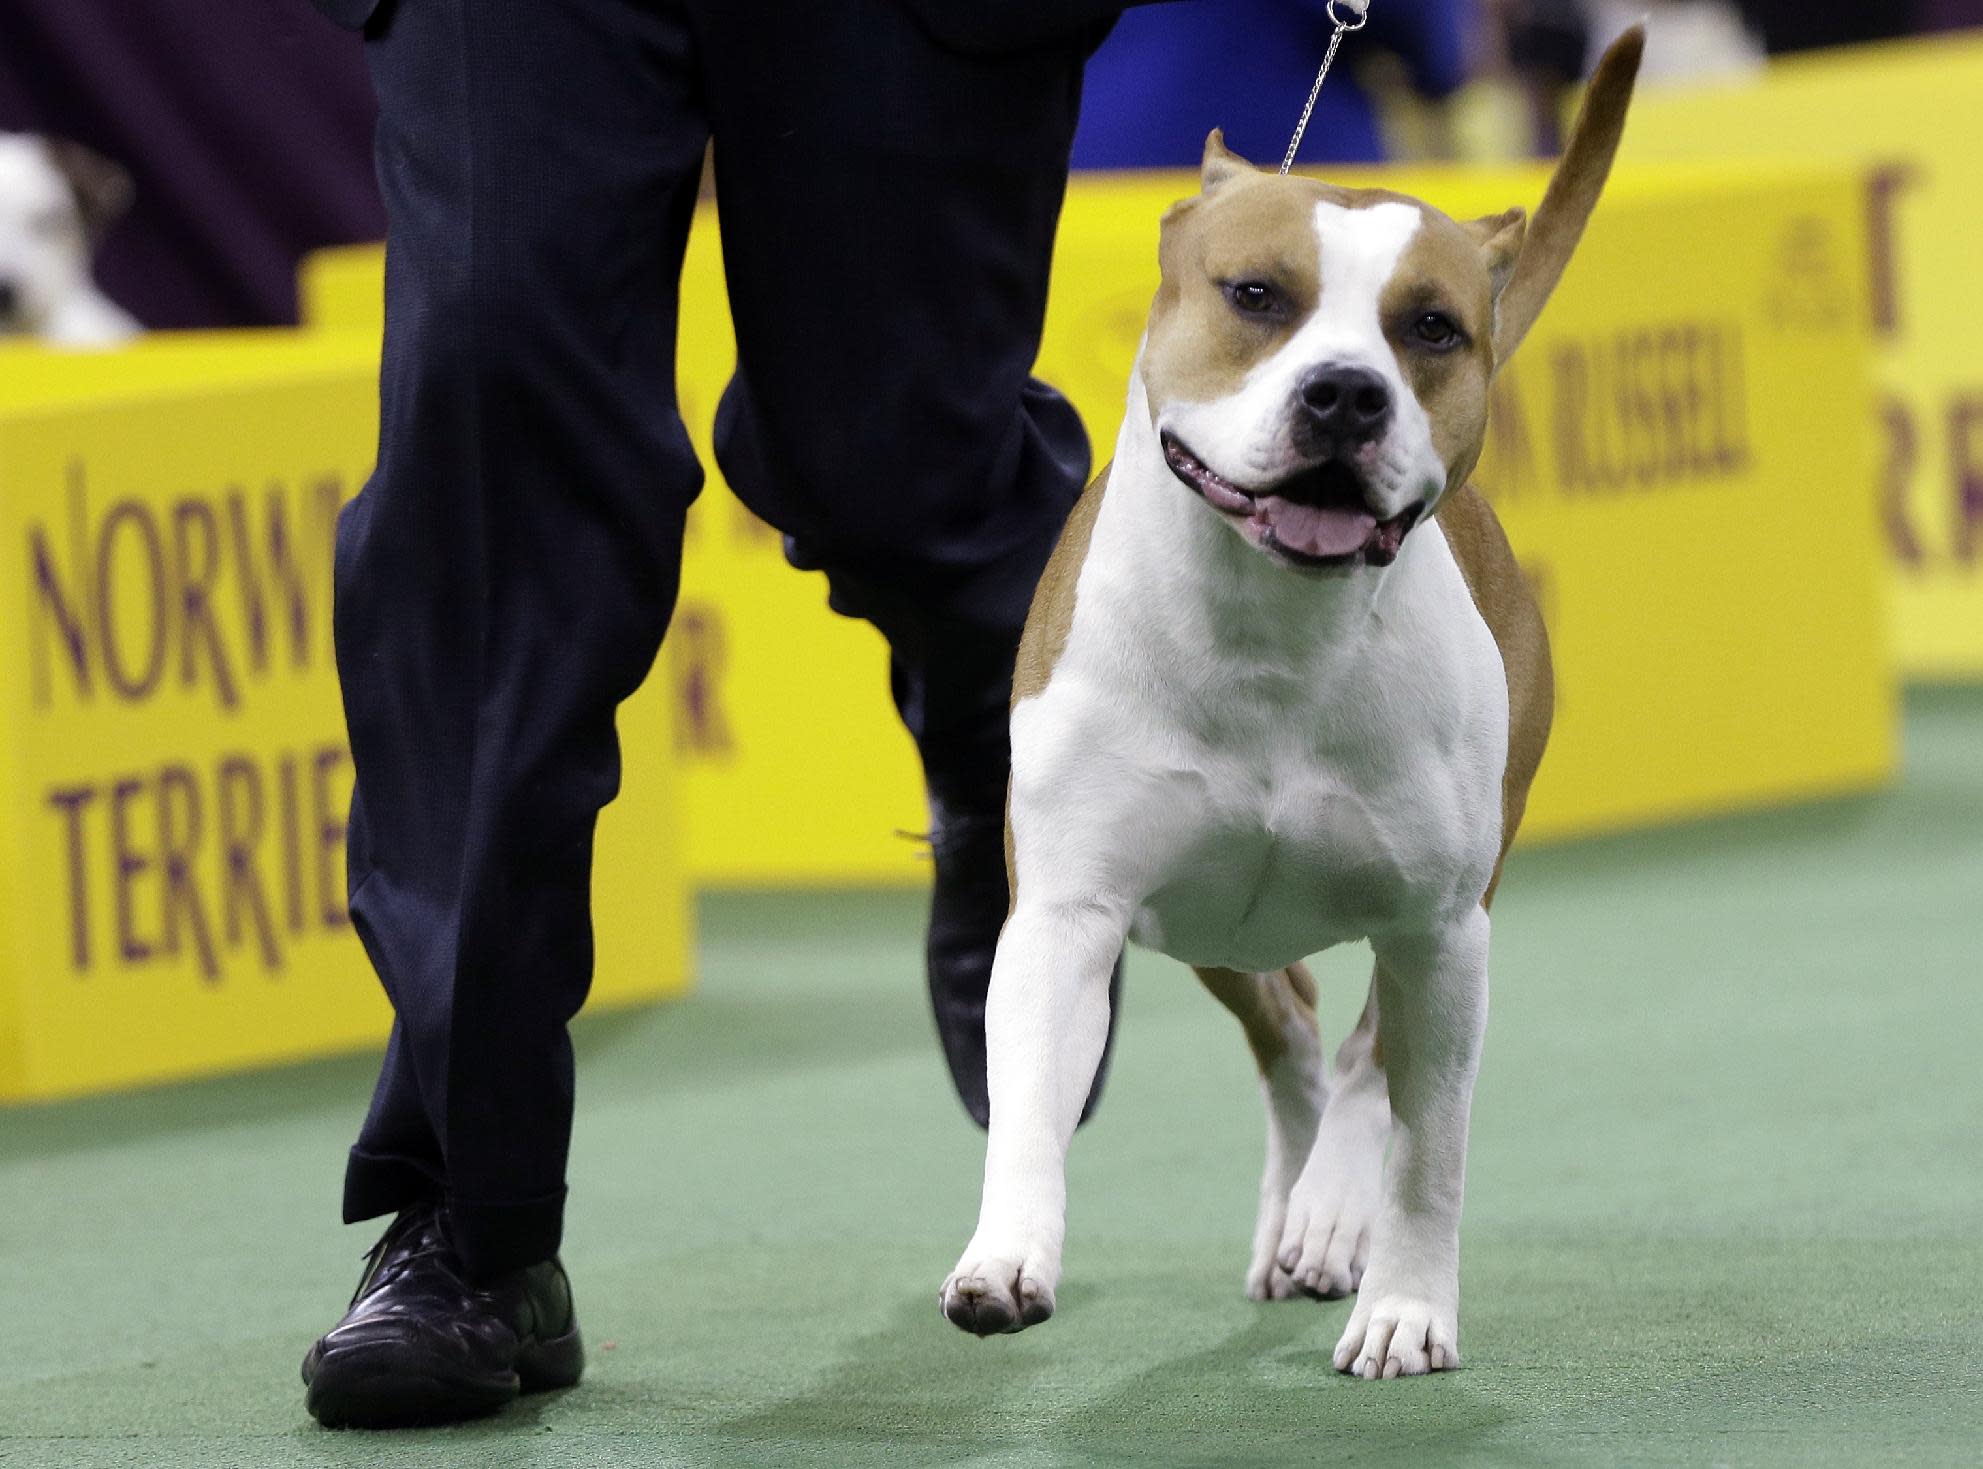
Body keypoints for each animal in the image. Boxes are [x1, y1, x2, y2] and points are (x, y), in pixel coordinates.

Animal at [939, 28, 1641, 1371]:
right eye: (1256, 295)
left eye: (1431, 328)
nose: (1347, 394)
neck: (1273, 632)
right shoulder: (1070, 909)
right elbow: (1029, 1102)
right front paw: (1005, 1256)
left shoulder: (1442, 925)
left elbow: (1429, 1147)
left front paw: (1408, 1305)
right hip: (1207, 923)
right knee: (1294, 1031)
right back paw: (1294, 1217)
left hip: (1448, 903)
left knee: (1364, 1054)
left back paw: (1327, 1217)